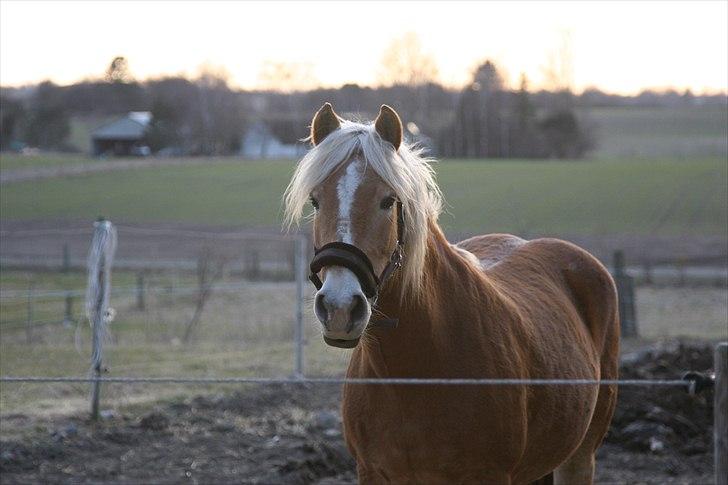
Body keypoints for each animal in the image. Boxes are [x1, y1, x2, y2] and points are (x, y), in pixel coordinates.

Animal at [284, 103, 620, 484]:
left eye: (388, 201)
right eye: (315, 201)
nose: (340, 308)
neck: (414, 373)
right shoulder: (372, 472)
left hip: (580, 454)